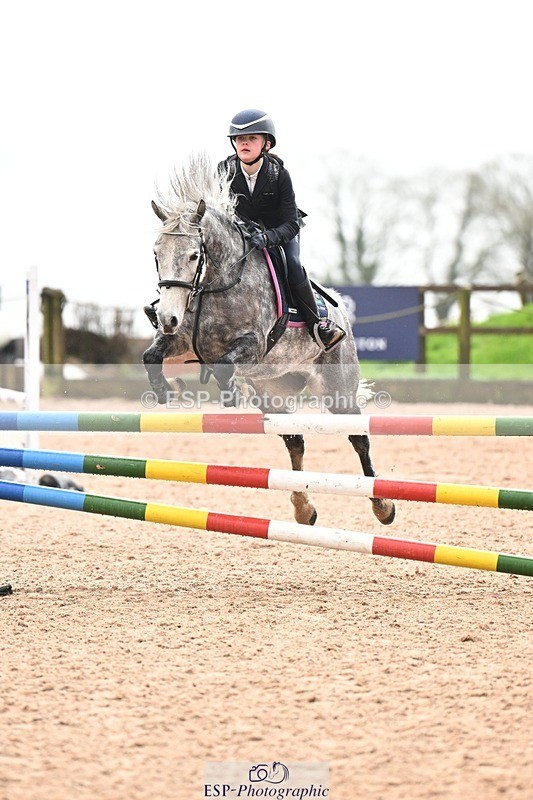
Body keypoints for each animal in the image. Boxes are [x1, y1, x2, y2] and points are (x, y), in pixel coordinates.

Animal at [143, 155, 395, 527]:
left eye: (193, 255)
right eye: (156, 253)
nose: (166, 318)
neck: (218, 284)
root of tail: (339, 310)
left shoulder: (254, 345)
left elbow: (224, 366)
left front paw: (229, 394)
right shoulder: (183, 340)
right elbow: (151, 356)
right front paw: (166, 390)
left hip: (338, 388)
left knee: (357, 436)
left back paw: (383, 506)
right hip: (273, 393)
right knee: (295, 441)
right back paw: (303, 508)